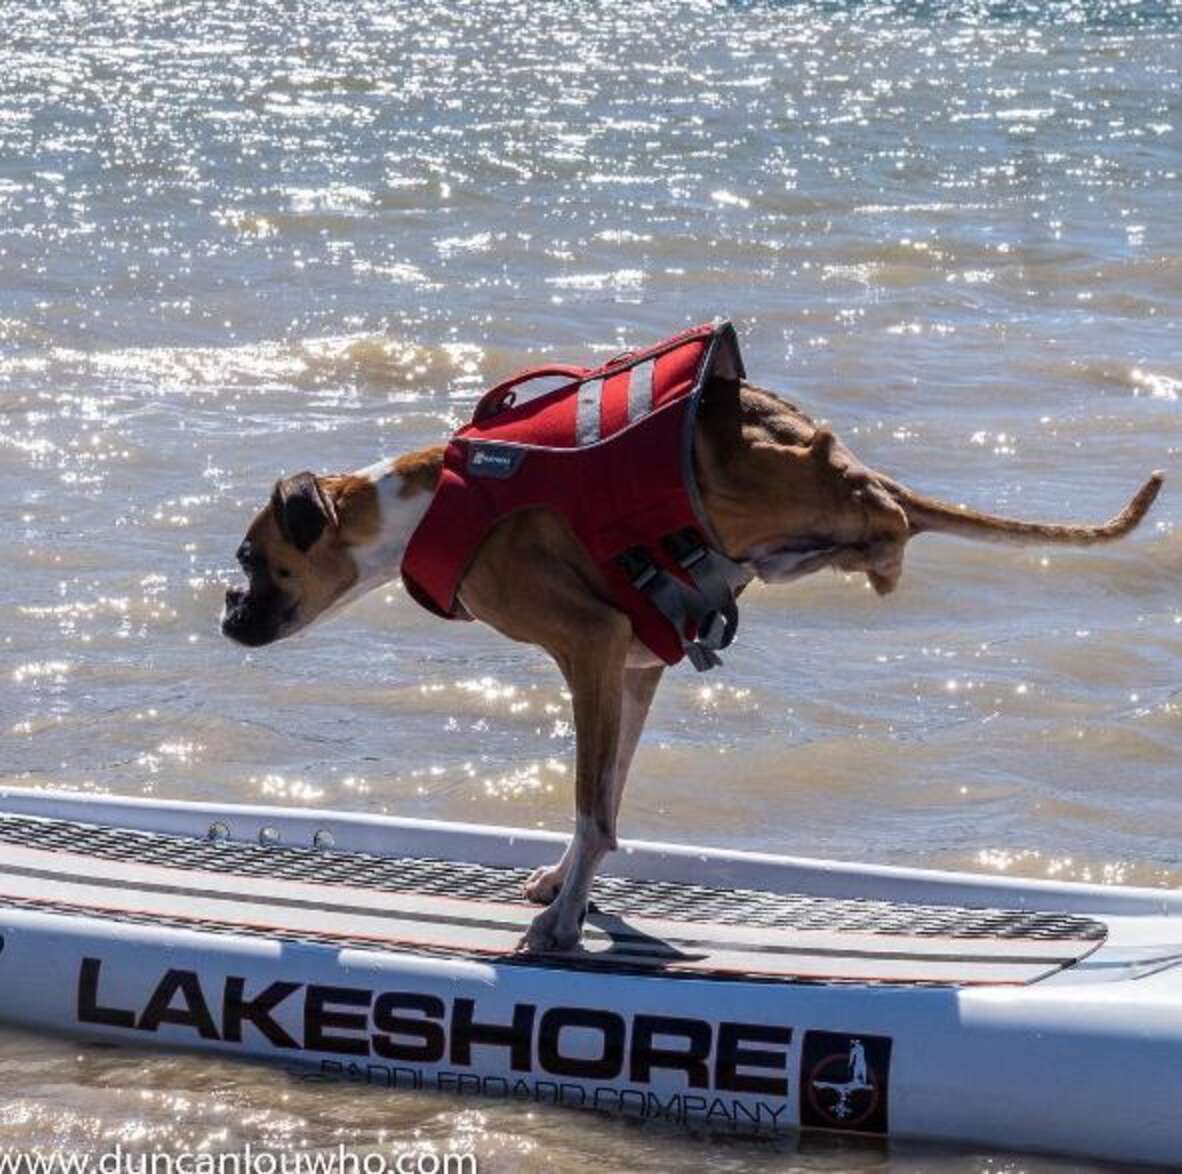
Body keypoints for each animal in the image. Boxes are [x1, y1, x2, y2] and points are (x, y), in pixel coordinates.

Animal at [222, 366, 1163, 955]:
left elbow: (590, 804)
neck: (422, 506)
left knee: (882, 519)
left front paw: (563, 923)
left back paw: (831, 541)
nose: (225, 616)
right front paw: (568, 886)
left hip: (755, 472)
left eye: (249, 558)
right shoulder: (633, 668)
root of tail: (854, 463)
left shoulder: (590, 649)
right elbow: (603, 806)